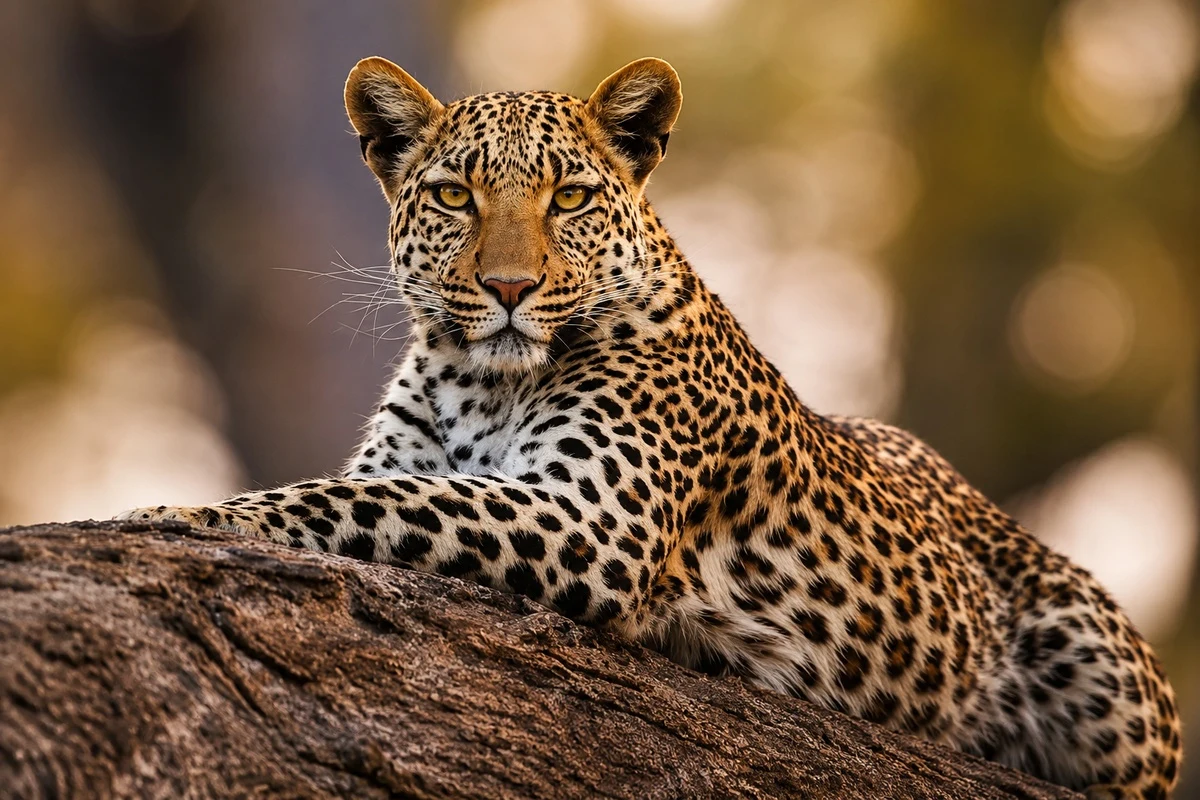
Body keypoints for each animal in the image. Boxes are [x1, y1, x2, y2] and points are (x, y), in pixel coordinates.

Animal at [120, 56, 1181, 798]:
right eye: (455, 195)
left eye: (571, 198)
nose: (510, 289)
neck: (480, 380)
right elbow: (374, 483)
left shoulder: (594, 521)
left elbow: (369, 501)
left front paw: (179, 515)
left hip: (1105, 669)